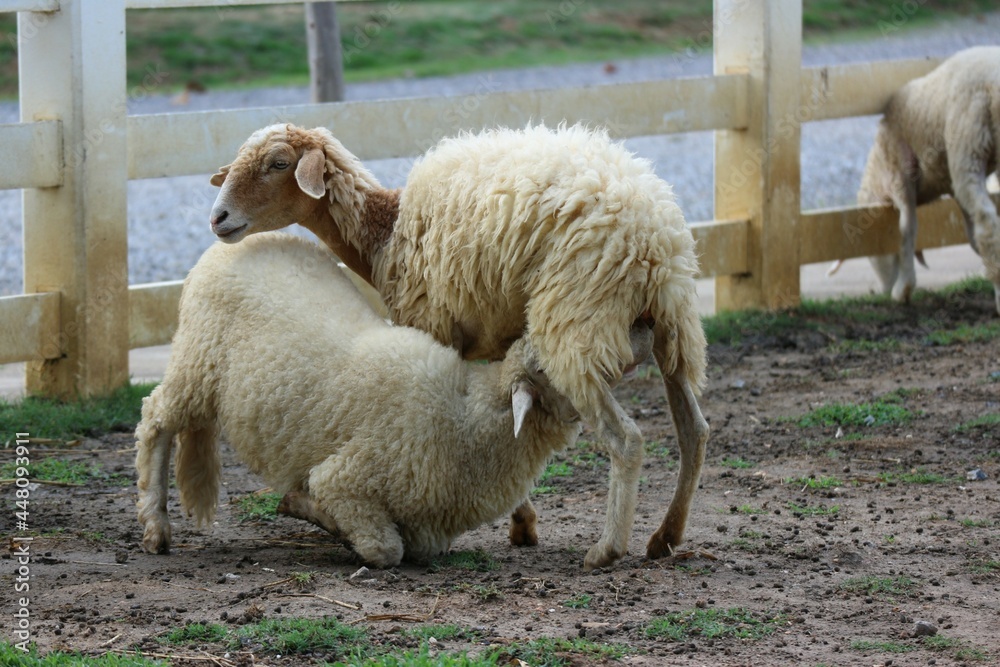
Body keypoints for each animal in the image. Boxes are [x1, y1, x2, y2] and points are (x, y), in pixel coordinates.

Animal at [135, 232, 656, 567]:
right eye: (549, 367)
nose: (641, 325)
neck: (465, 421)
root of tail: (228, 247)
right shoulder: (347, 478)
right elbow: (385, 550)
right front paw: (313, 514)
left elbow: (419, 547)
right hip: (195, 364)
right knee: (155, 422)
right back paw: (156, 528)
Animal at [208, 122, 710, 569]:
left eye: (279, 163)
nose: (217, 218)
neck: (384, 233)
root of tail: (654, 240)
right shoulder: (498, 336)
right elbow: (507, 410)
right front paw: (522, 522)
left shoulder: (433, 323)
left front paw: (514, 520)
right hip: (673, 329)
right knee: (694, 429)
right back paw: (666, 536)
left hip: (576, 325)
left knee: (626, 439)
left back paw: (607, 550)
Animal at [857, 46, 1000, 314]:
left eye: (873, 247)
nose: (882, 291)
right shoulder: (952, 185)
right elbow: (971, 235)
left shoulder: (902, 174)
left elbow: (907, 230)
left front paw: (903, 288)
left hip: (967, 149)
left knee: (987, 224)